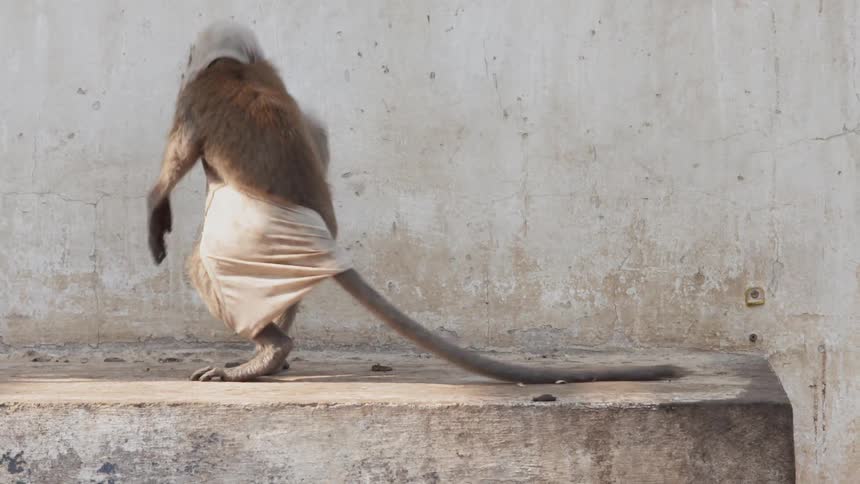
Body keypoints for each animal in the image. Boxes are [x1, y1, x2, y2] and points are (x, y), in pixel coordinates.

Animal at [147, 21, 683, 384]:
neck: (237, 65)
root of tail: (322, 234)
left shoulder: (192, 99)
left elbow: (174, 165)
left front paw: (157, 215)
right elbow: (314, 127)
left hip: (254, 236)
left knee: (203, 263)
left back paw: (271, 350)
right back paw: (276, 348)